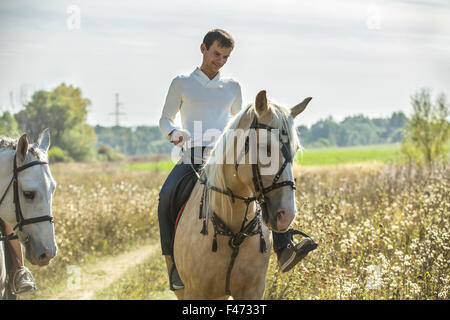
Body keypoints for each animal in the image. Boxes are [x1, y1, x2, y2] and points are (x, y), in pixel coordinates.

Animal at [174, 90, 312, 300]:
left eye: (295, 150)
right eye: (266, 148)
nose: (287, 215)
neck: (234, 231)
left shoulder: (253, 290)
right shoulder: (194, 292)